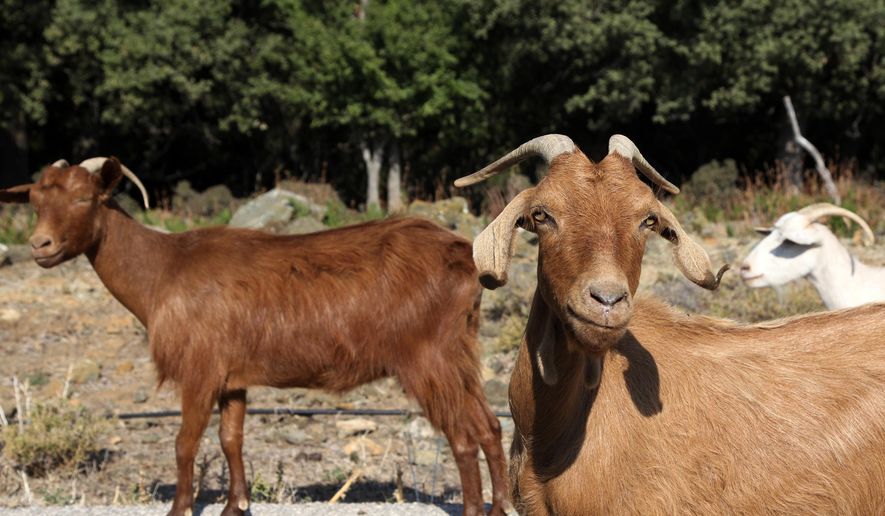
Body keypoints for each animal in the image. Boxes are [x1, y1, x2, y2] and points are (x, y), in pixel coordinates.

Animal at [1, 158, 507, 516]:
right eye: (36, 202)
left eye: (85, 199)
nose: (40, 246)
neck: (162, 270)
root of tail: (465, 256)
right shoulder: (233, 378)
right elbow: (231, 439)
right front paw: (235, 505)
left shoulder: (200, 369)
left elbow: (185, 441)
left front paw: (180, 509)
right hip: (459, 352)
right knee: (489, 425)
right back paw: (500, 506)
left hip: (427, 357)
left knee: (462, 436)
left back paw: (473, 509)